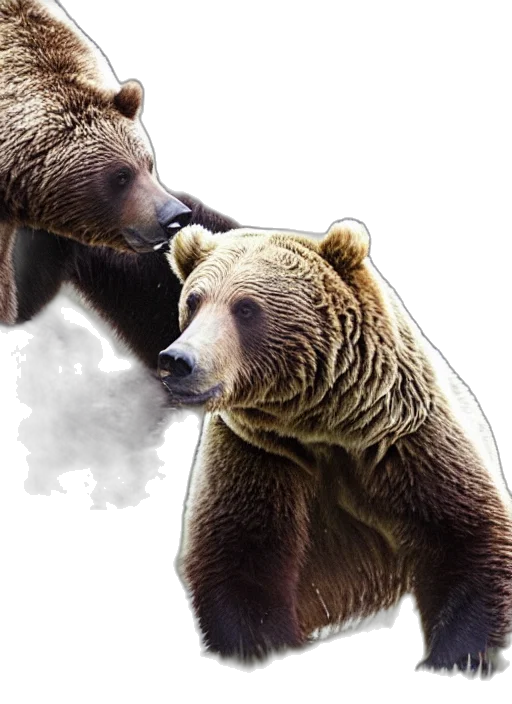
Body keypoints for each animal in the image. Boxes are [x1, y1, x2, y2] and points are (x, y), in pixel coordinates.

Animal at [158, 219, 512, 677]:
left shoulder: (407, 441)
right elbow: (238, 564)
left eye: (246, 307)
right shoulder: (260, 455)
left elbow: (470, 538)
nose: (178, 361)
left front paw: (459, 658)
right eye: (194, 300)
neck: (321, 423)